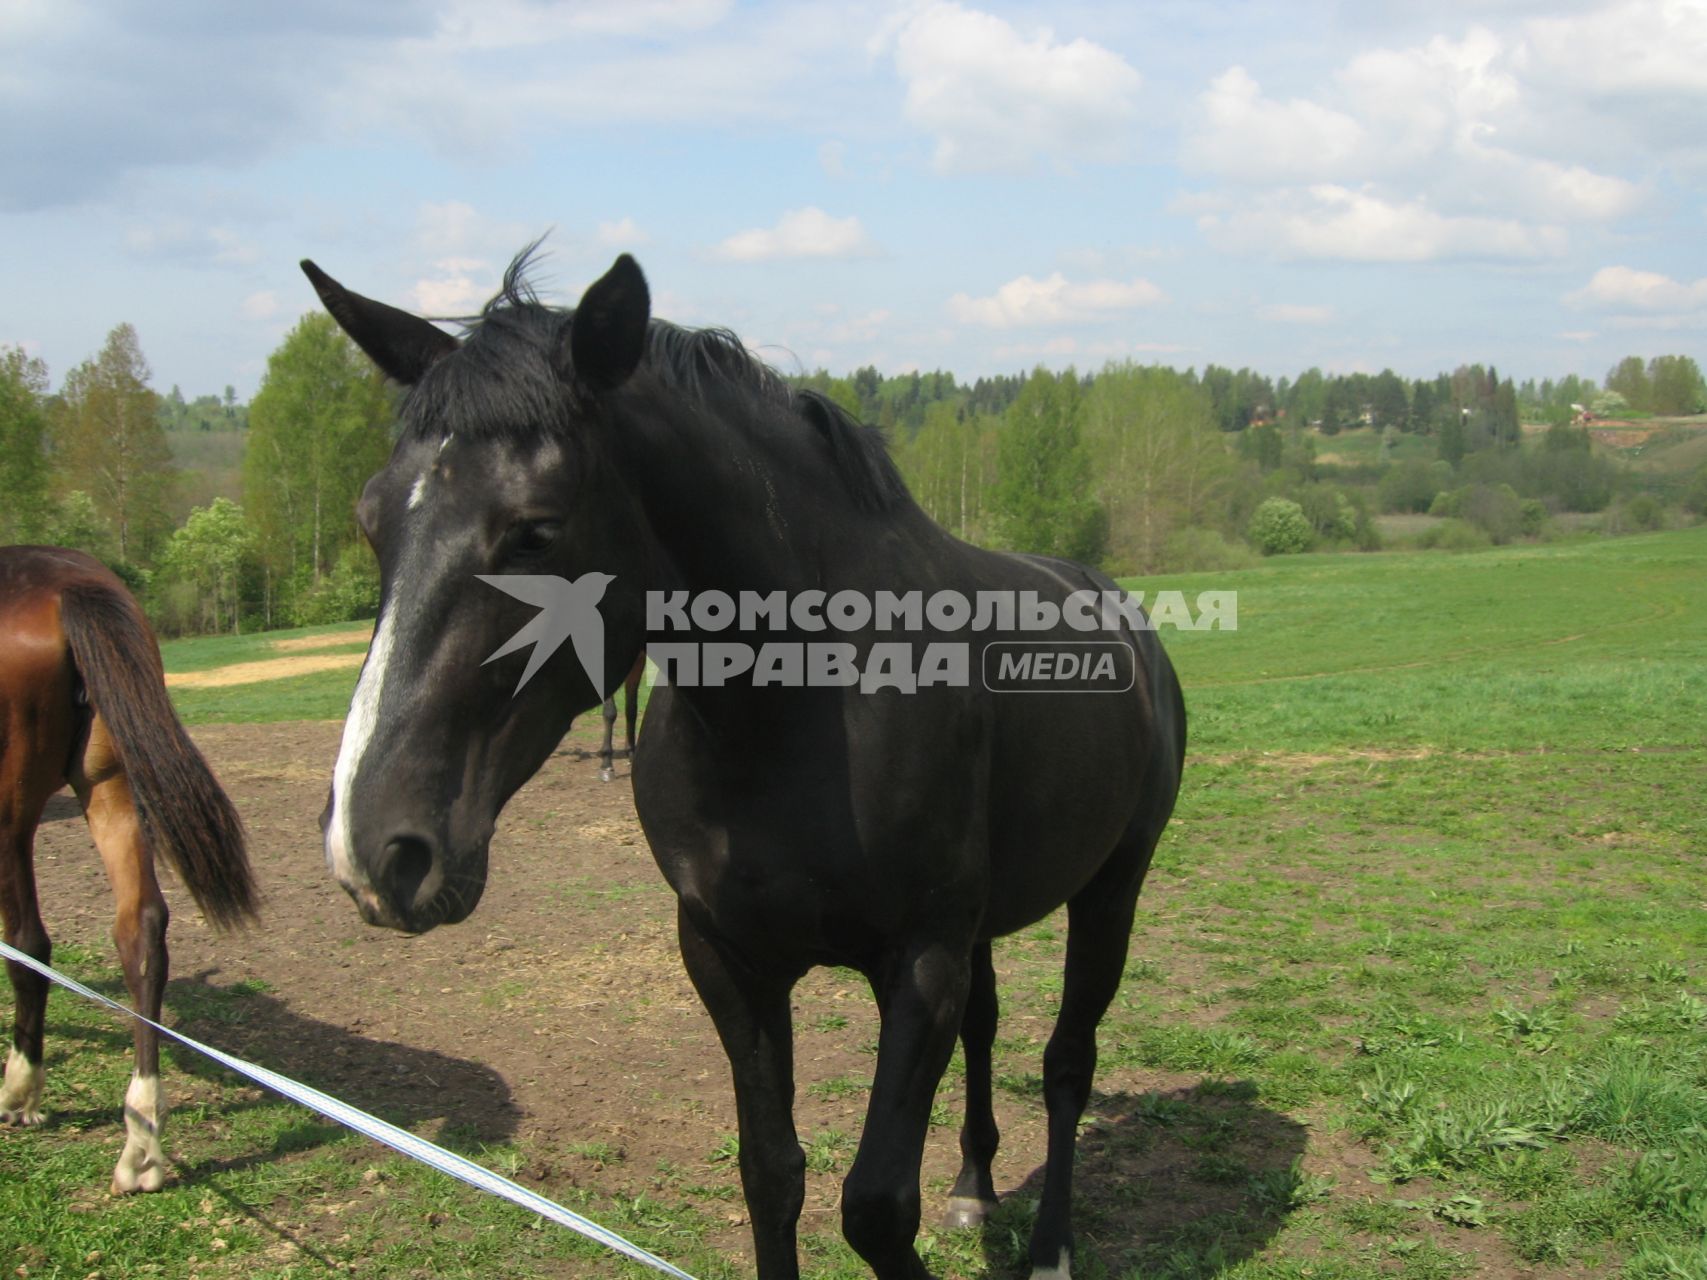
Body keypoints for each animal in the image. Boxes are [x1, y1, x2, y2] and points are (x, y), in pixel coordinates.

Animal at [0, 546, 256, 1201]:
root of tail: (67, 585)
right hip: (110, 787)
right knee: (140, 932)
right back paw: (142, 1143)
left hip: (13, 813)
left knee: (29, 944)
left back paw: (21, 1090)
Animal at [307, 250, 1181, 1280]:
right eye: (370, 520)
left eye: (536, 530)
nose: (375, 850)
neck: (802, 707)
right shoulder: (729, 957)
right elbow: (771, 1173)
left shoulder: (919, 960)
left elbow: (875, 1206)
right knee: (990, 1026)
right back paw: (974, 1188)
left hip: (1110, 890)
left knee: (1065, 1064)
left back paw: (1049, 1248)